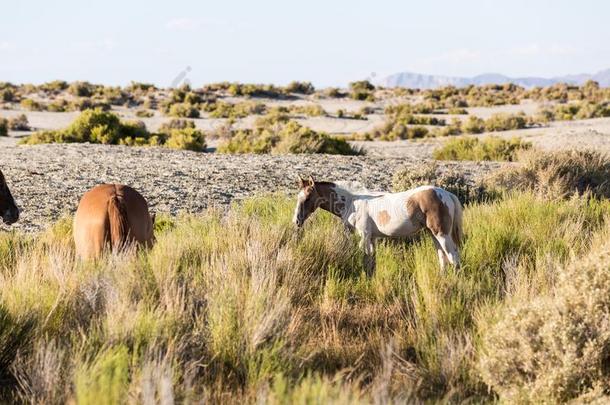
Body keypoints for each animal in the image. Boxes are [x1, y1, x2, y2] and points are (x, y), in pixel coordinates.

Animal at [294, 176, 460, 274]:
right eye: (298, 197)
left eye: (308, 198)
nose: (296, 221)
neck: (352, 201)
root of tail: (447, 194)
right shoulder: (373, 238)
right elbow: (372, 261)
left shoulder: (364, 236)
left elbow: (365, 258)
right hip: (433, 235)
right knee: (443, 257)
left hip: (441, 234)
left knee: (453, 257)